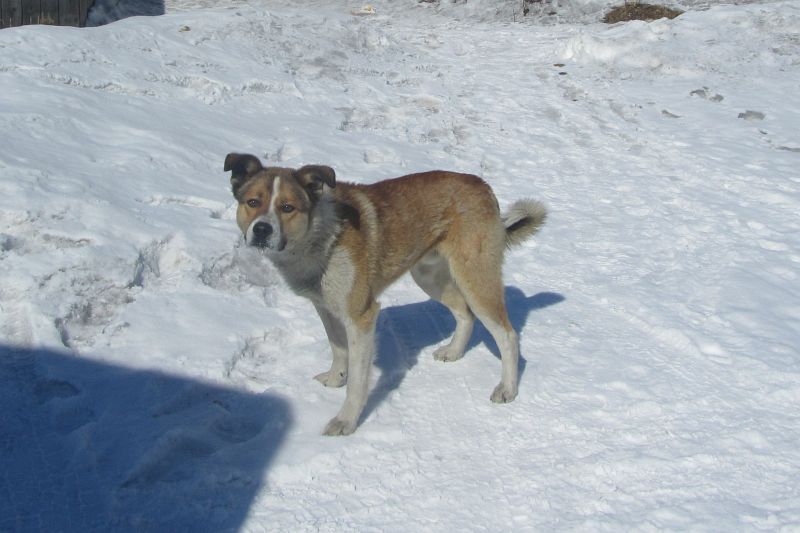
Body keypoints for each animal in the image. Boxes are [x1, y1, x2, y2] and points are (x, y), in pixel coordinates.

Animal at [228, 152, 548, 434]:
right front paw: (335, 378)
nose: (262, 230)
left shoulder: (361, 317)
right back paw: (454, 352)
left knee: (507, 335)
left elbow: (358, 382)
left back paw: (507, 388)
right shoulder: (327, 308)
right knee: (465, 314)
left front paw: (346, 422)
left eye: (287, 207)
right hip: (429, 277)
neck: (320, 237)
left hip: (475, 279)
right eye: (252, 202)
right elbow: (338, 349)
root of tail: (483, 186)